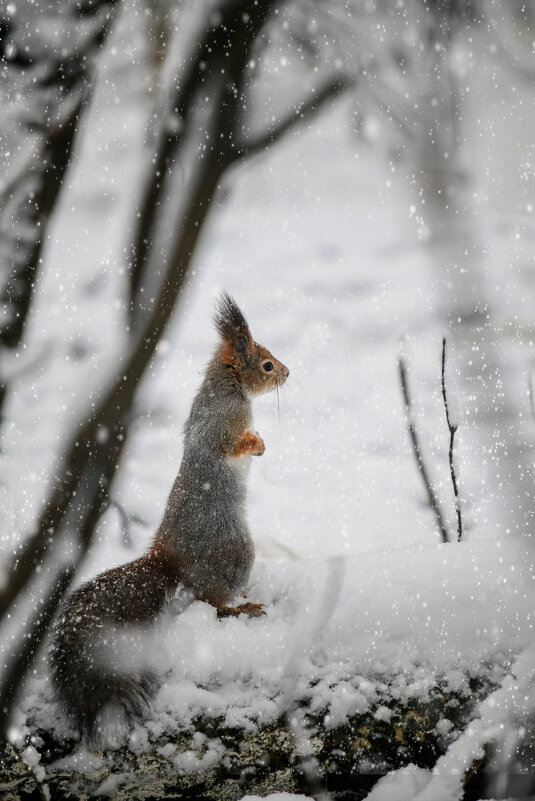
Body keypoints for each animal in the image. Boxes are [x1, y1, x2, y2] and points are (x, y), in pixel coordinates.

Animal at [49, 294, 292, 744]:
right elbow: (231, 444)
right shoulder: (221, 424)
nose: (288, 372)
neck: (228, 385)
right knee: (211, 601)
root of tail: (168, 560)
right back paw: (241, 607)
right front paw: (257, 444)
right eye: (267, 365)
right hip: (234, 551)